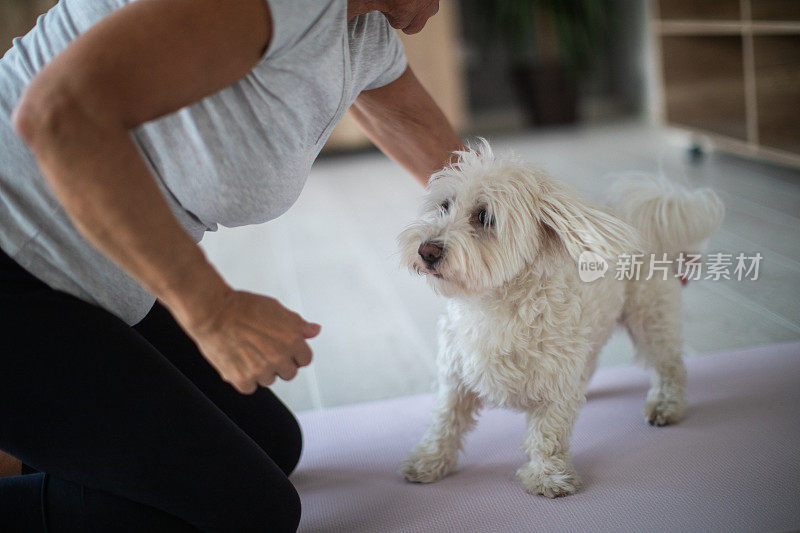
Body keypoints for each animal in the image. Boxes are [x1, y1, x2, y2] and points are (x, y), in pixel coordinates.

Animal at [396, 140, 720, 494]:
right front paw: (429, 461)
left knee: (670, 367)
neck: (495, 305)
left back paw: (666, 406)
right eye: (444, 206)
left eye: (484, 216)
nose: (426, 250)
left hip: (651, 320)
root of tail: (642, 223)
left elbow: (548, 433)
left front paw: (548, 475)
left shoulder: (556, 385)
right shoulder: (456, 375)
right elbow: (445, 422)